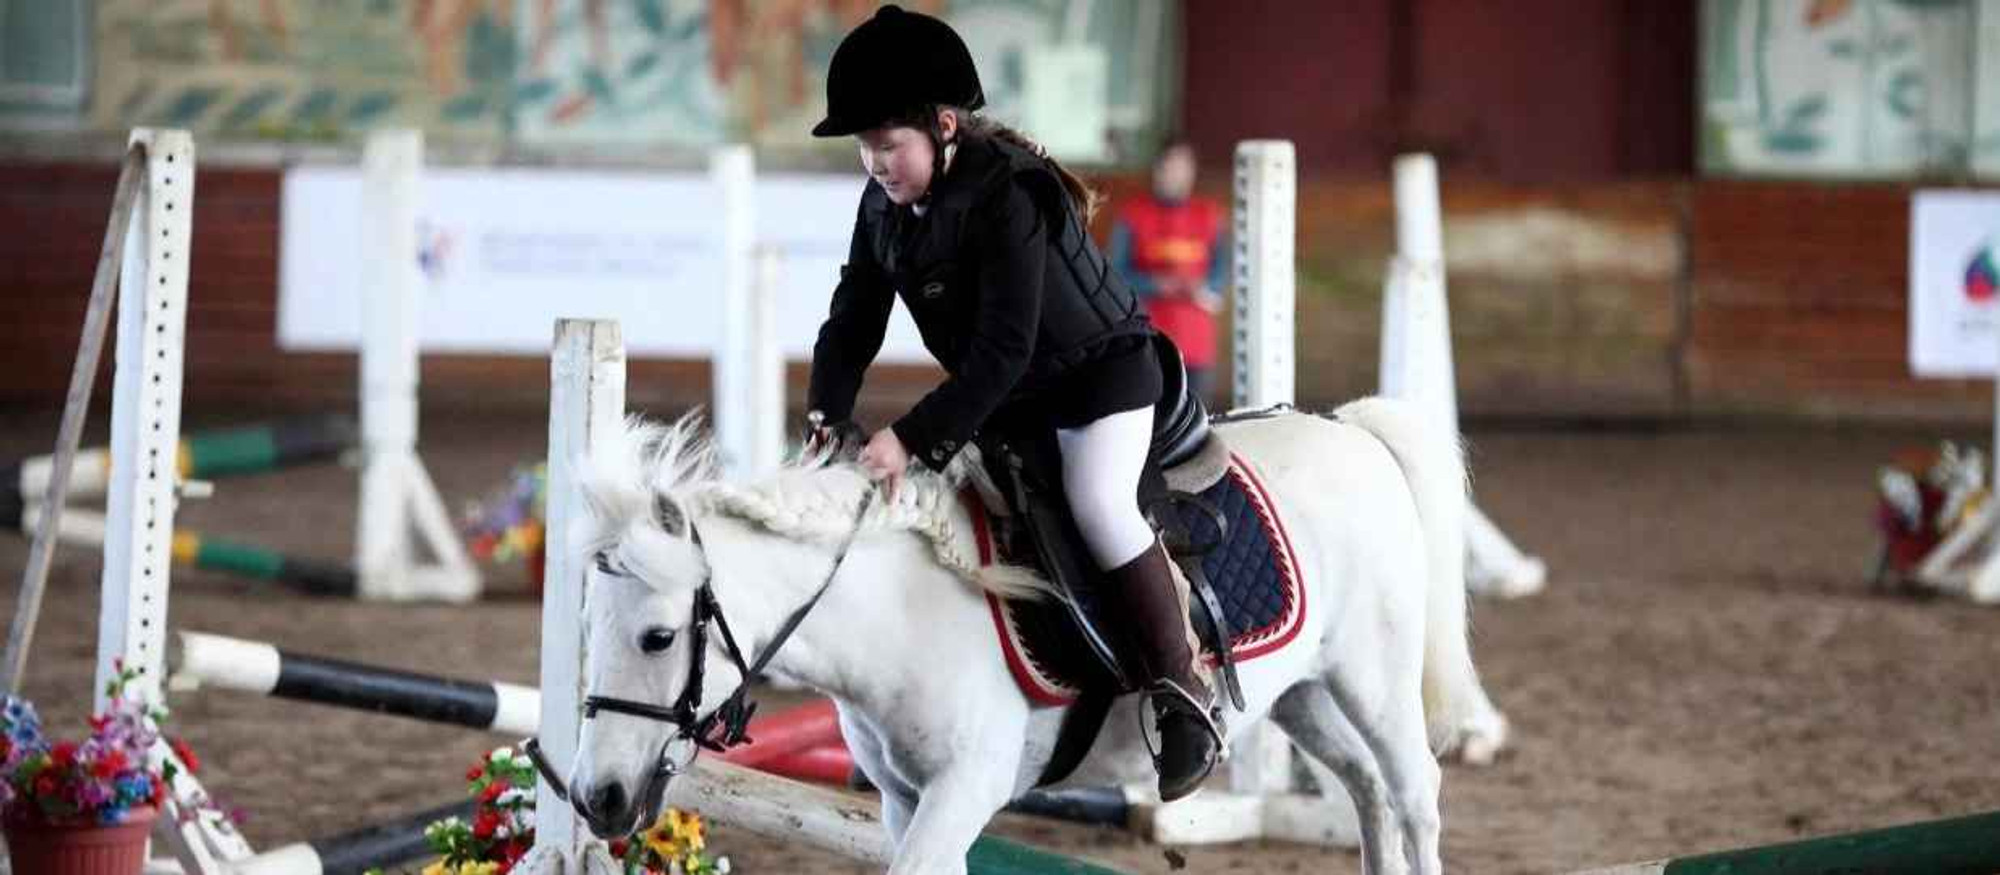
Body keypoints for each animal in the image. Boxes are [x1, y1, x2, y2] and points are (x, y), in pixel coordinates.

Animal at [564, 401, 1504, 875]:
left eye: (657, 636)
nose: (596, 797)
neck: (895, 610)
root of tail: (1353, 429)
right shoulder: (905, 794)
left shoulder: (966, 785)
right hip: (1302, 692)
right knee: (1367, 791)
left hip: (1373, 675)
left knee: (1413, 791)